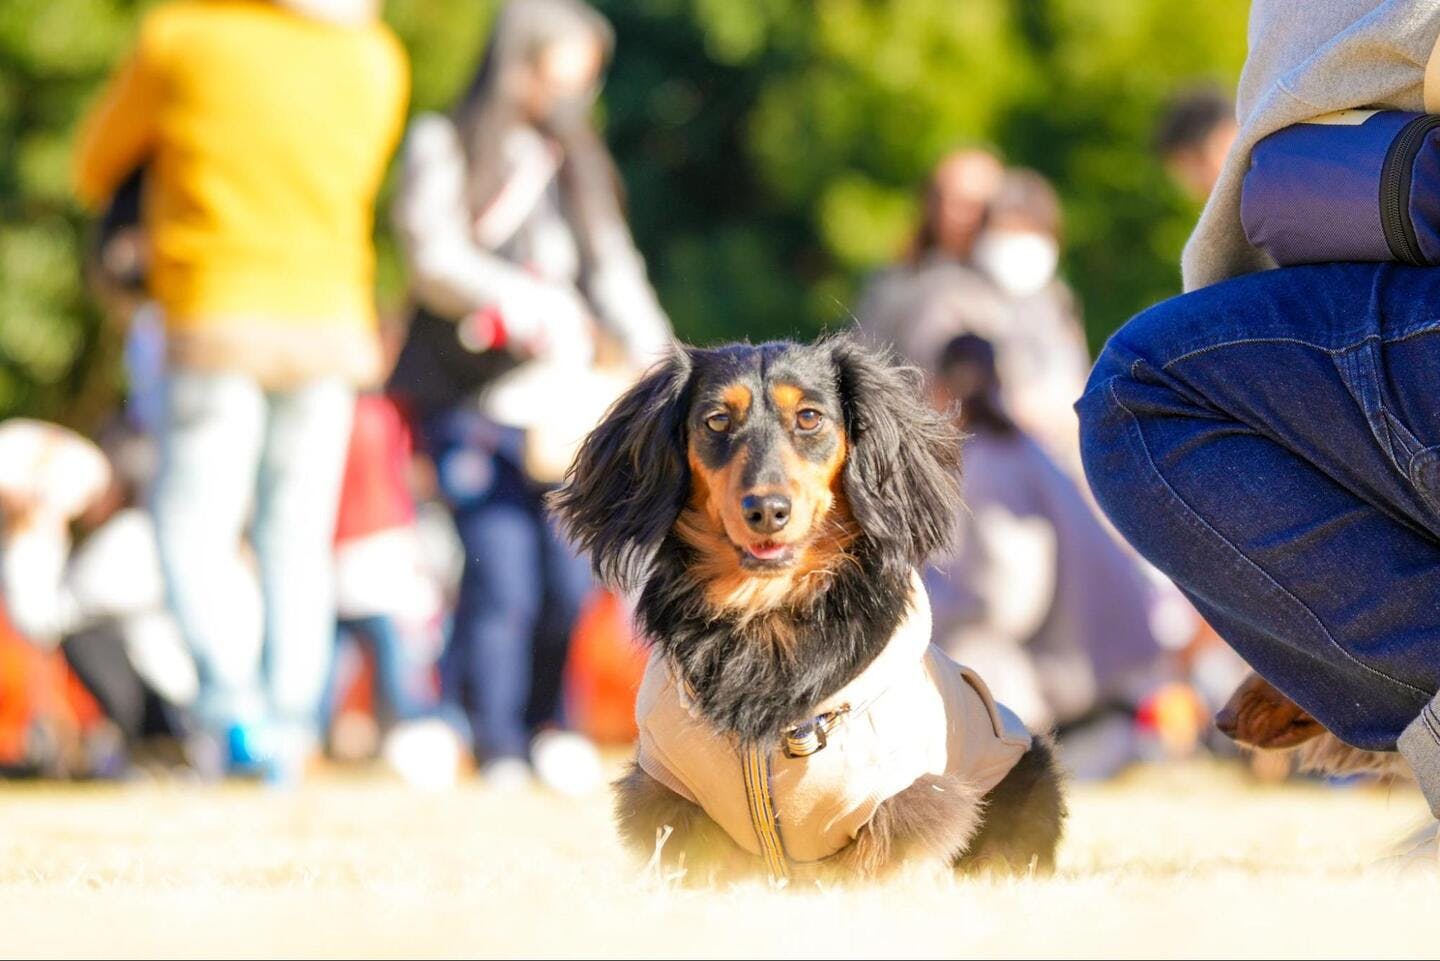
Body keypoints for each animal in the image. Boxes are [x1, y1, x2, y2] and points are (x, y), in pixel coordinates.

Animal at [550, 337, 1071, 881]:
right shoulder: (668, 792)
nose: (767, 510)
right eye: (716, 420)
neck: (768, 612)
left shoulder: (904, 797)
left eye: (809, 417)